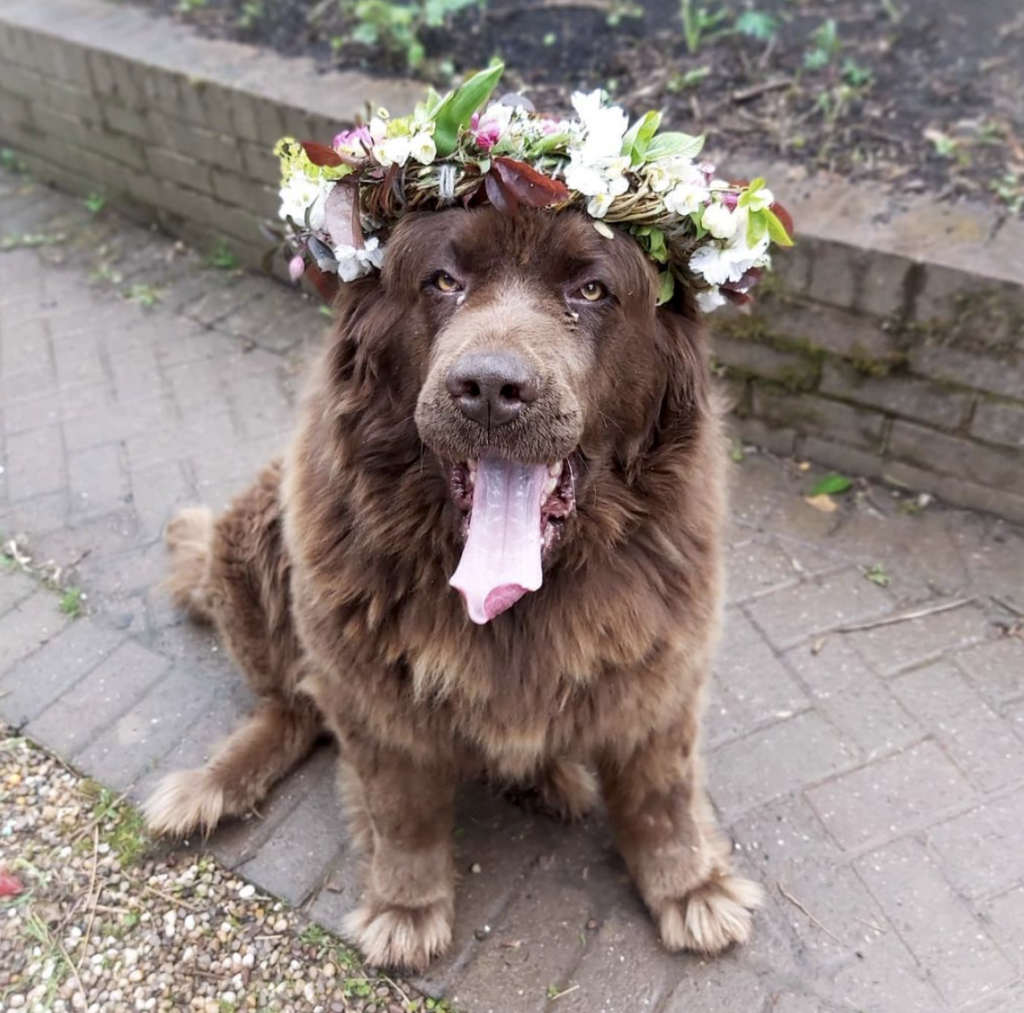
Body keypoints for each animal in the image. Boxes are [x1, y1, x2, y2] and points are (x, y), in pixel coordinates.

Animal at [148, 203, 765, 962]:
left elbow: (661, 797)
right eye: (443, 280)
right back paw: (212, 787)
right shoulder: (372, 693)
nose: (492, 388)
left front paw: (691, 888)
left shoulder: (660, 674)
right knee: (291, 706)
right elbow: (401, 807)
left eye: (591, 290)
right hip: (258, 537)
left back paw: (548, 778)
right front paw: (406, 908)